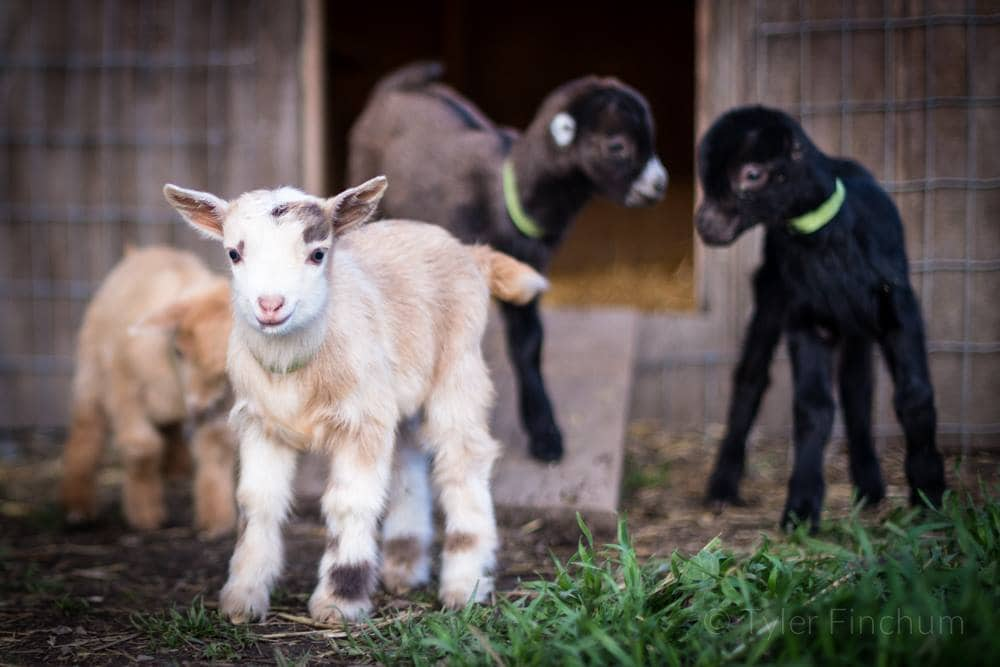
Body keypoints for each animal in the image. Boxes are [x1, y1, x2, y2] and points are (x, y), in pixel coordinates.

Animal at [164, 177, 548, 628]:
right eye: (233, 253)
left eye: (317, 253)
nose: (270, 305)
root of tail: (470, 253)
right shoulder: (262, 423)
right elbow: (258, 503)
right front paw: (243, 597)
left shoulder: (360, 422)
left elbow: (349, 502)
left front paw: (338, 603)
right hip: (397, 395)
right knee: (408, 460)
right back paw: (403, 568)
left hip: (458, 368)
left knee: (463, 461)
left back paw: (463, 586)